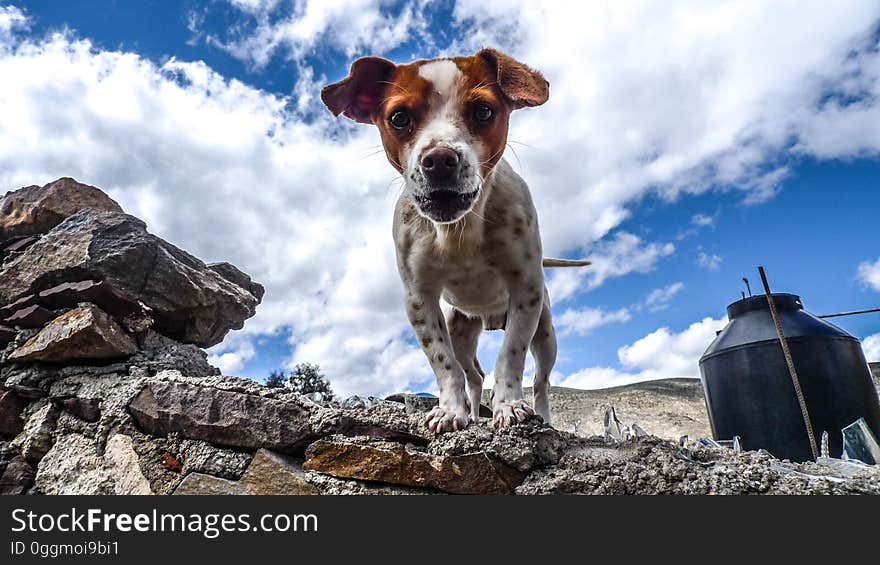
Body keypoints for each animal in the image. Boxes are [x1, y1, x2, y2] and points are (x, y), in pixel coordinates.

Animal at [320, 48, 588, 434]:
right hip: (461, 328)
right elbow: (443, 364)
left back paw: (543, 415)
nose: (439, 160)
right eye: (399, 117)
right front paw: (451, 411)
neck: (458, 230)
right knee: (473, 374)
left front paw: (509, 405)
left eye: (484, 111)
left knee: (540, 380)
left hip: (546, 332)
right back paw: (473, 413)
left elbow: (511, 355)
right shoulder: (420, 299)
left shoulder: (526, 290)